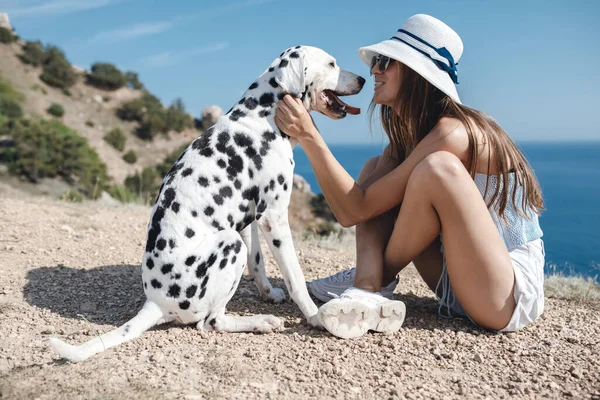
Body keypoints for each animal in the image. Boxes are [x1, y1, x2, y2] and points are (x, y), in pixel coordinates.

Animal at [49, 45, 364, 360]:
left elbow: (258, 264)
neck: (263, 116)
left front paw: (269, 293)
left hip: (234, 237)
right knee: (212, 322)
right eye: (332, 63)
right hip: (229, 244)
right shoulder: (273, 218)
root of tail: (155, 302)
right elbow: (295, 277)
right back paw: (260, 322)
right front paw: (314, 316)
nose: (363, 79)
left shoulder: (249, 221)